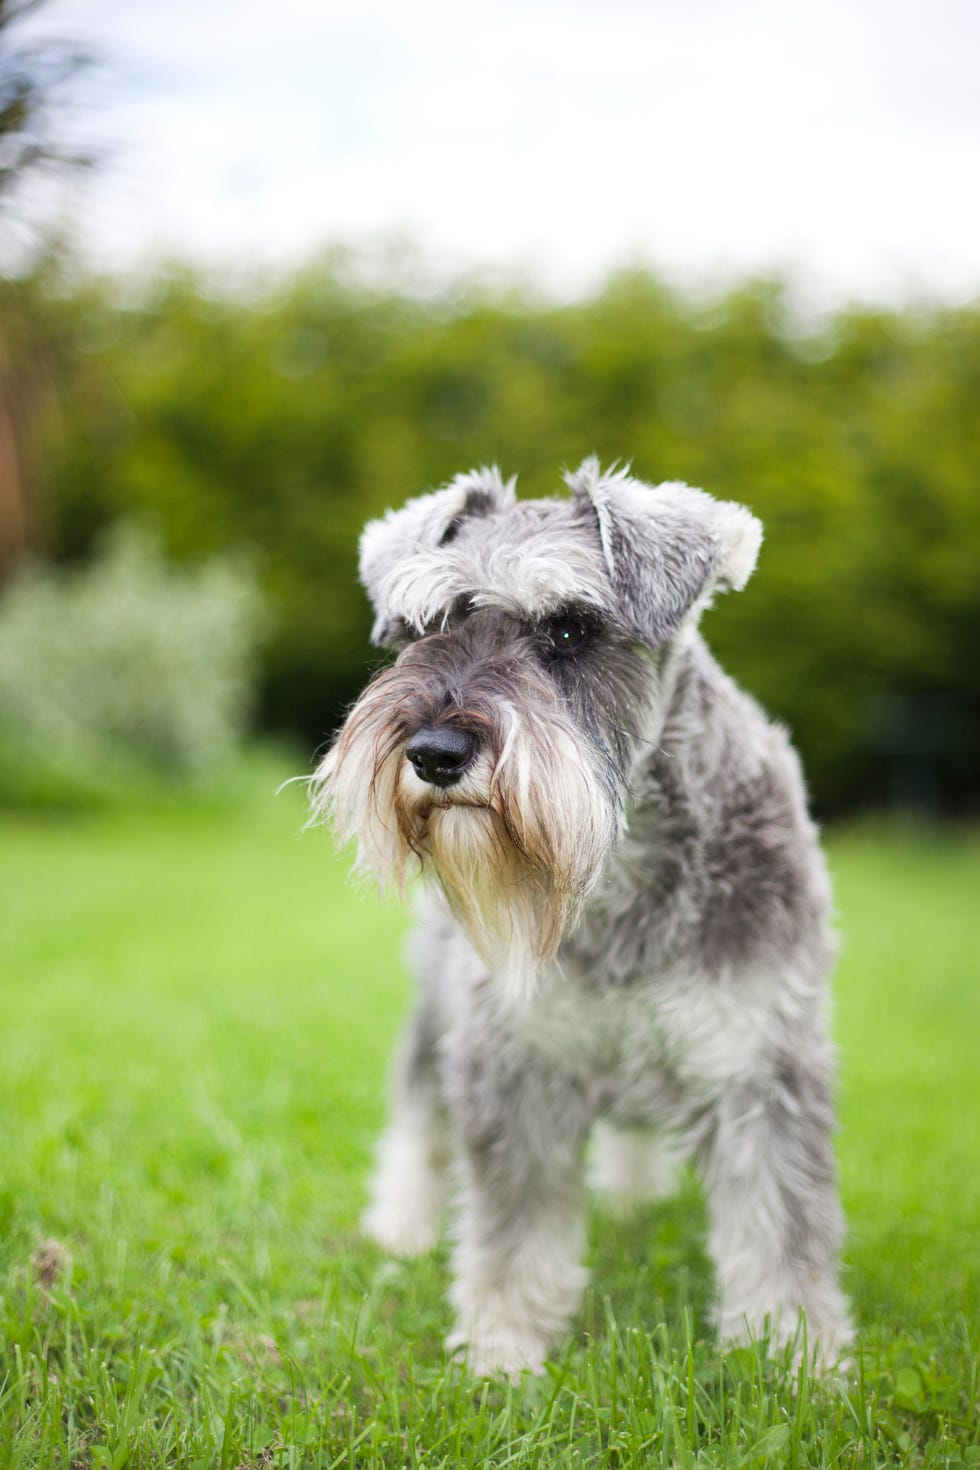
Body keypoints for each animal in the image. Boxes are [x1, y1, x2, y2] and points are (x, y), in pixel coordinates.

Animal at [314, 455, 852, 1375]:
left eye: (569, 630)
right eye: (427, 625)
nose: (434, 753)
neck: (616, 870)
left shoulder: (760, 1064)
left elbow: (781, 1226)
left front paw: (796, 1361)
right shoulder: (514, 1065)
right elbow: (514, 1228)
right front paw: (502, 1350)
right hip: (435, 1016)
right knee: (420, 1117)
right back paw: (402, 1226)